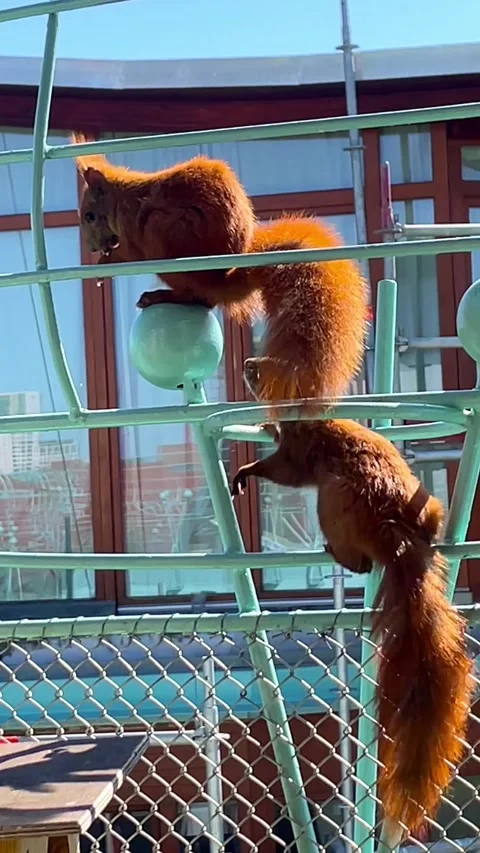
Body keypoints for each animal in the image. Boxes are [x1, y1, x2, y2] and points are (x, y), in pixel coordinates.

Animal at [232, 373, 473, 833]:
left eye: (261, 371)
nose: (246, 367)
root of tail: (394, 532)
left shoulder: (298, 451)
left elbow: (282, 468)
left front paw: (248, 467)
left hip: (334, 502)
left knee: (357, 558)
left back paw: (339, 553)